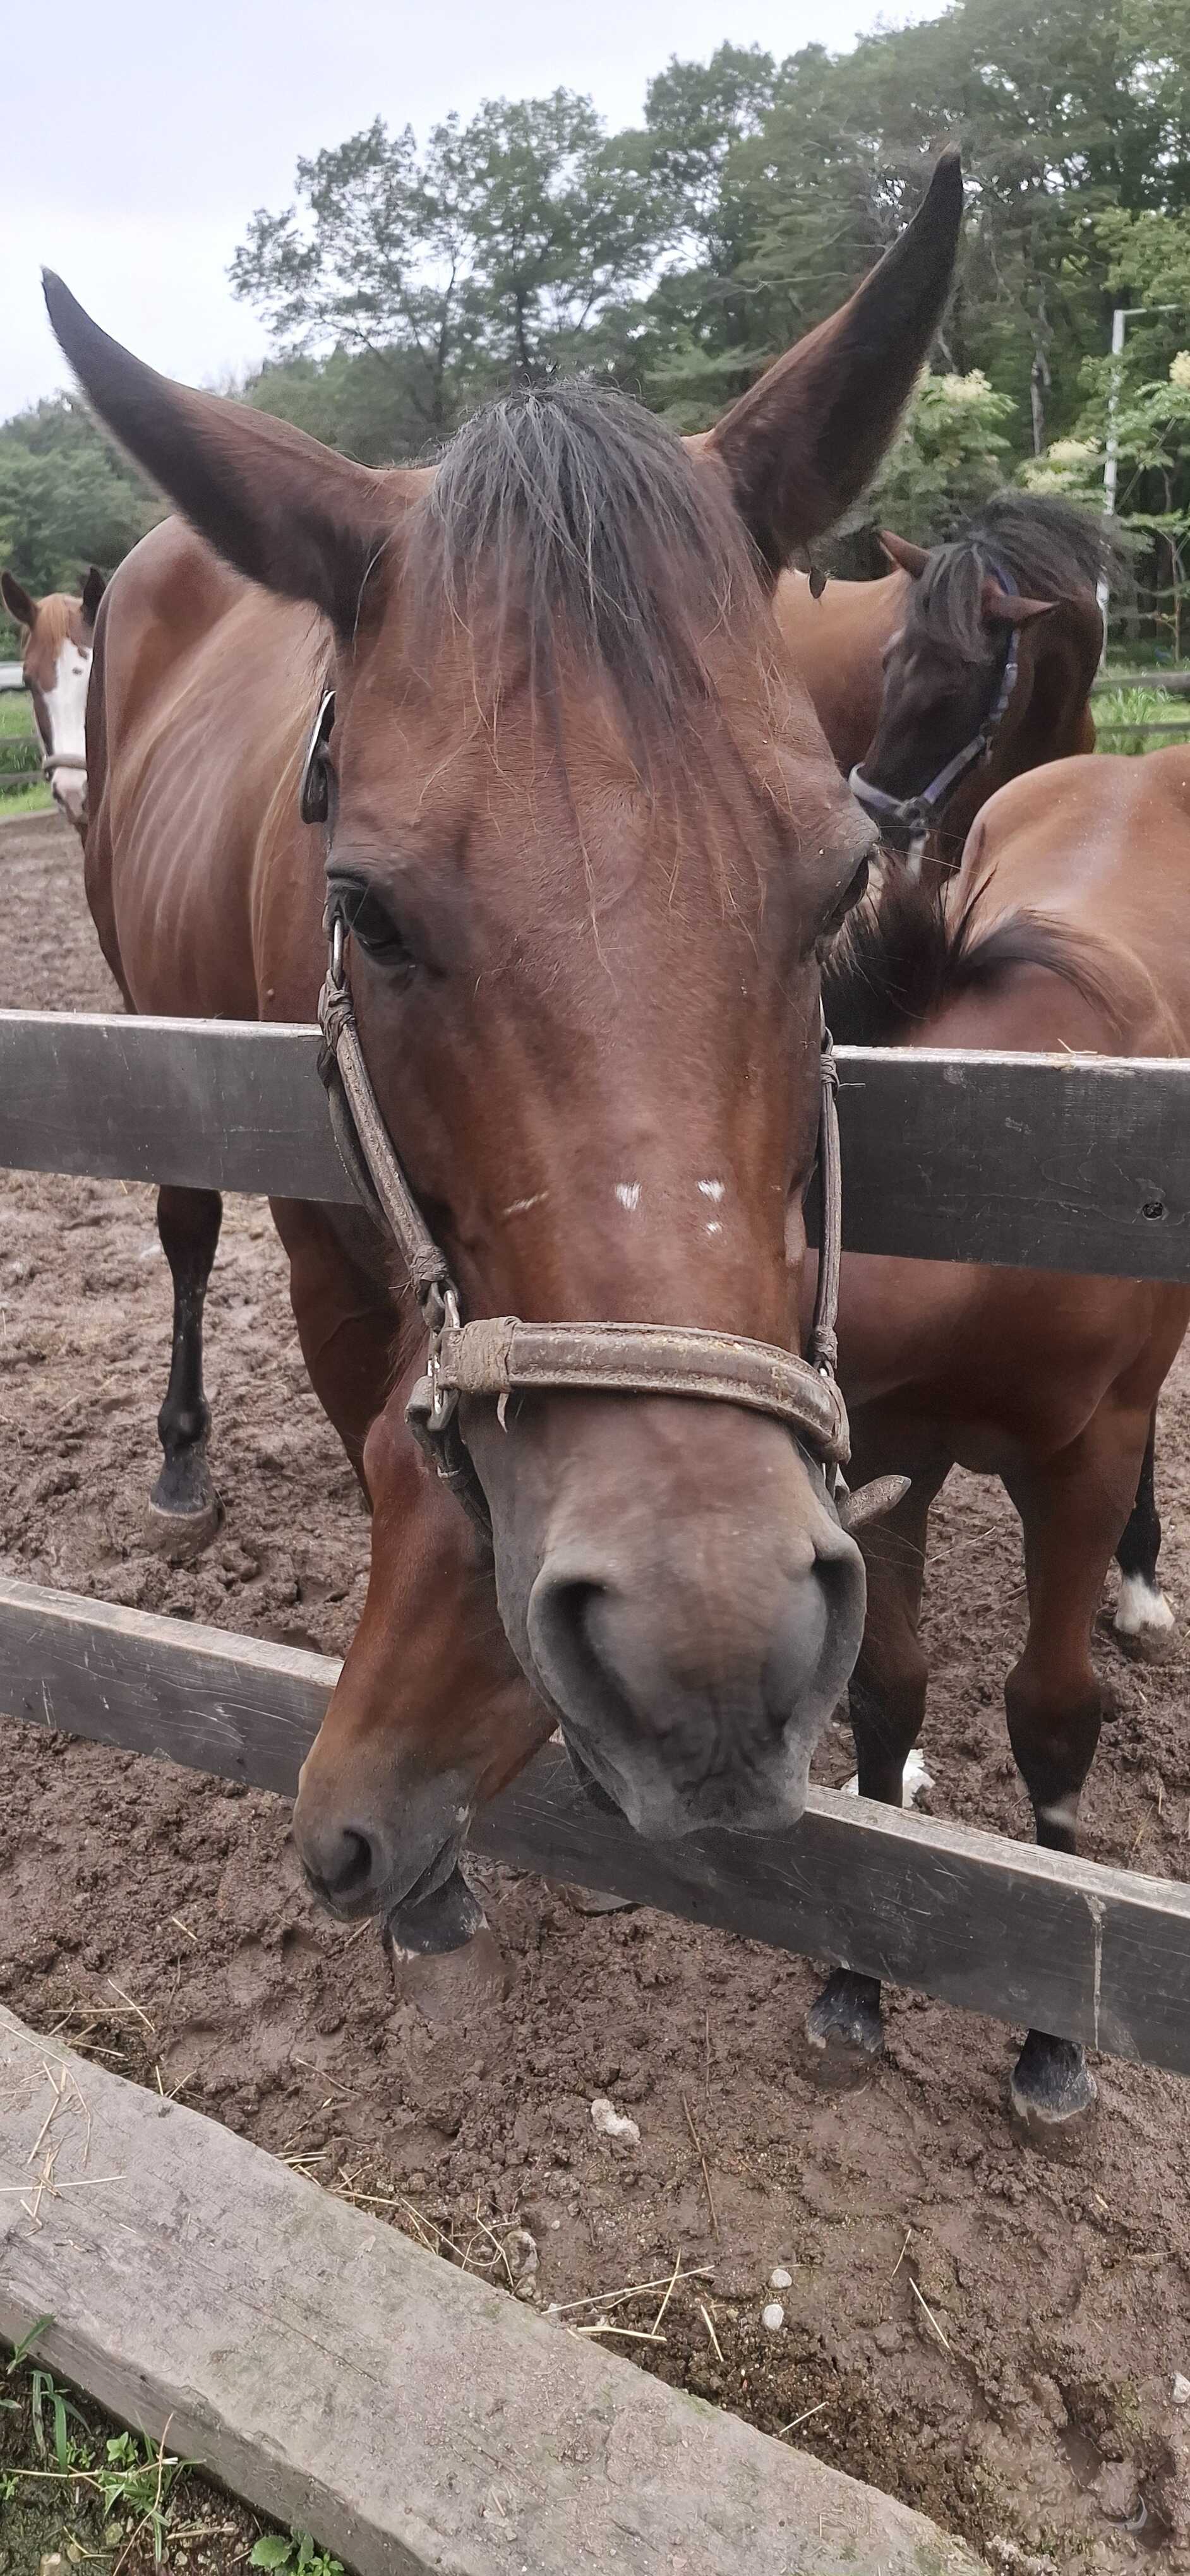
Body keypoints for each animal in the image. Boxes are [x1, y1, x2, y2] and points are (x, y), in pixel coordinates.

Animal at [46, 146, 964, 1924]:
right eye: (373, 909)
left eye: (837, 886)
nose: (708, 1652)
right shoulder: (333, 1273)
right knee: (180, 1221)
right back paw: (185, 1458)